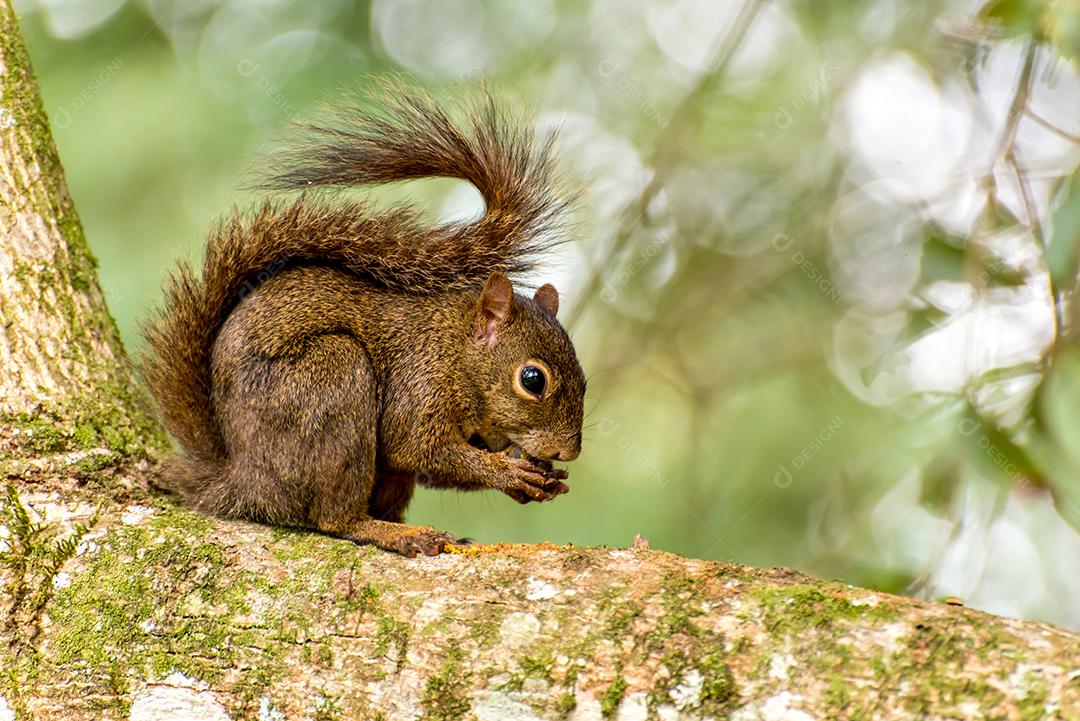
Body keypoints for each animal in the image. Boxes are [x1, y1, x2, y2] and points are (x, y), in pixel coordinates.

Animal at [142, 85, 587, 556]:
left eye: (584, 381)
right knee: (334, 518)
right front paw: (507, 472)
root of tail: (242, 480)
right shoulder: (419, 382)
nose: (567, 453)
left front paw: (540, 478)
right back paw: (393, 532)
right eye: (533, 380)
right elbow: (414, 448)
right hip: (332, 380)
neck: (456, 352)